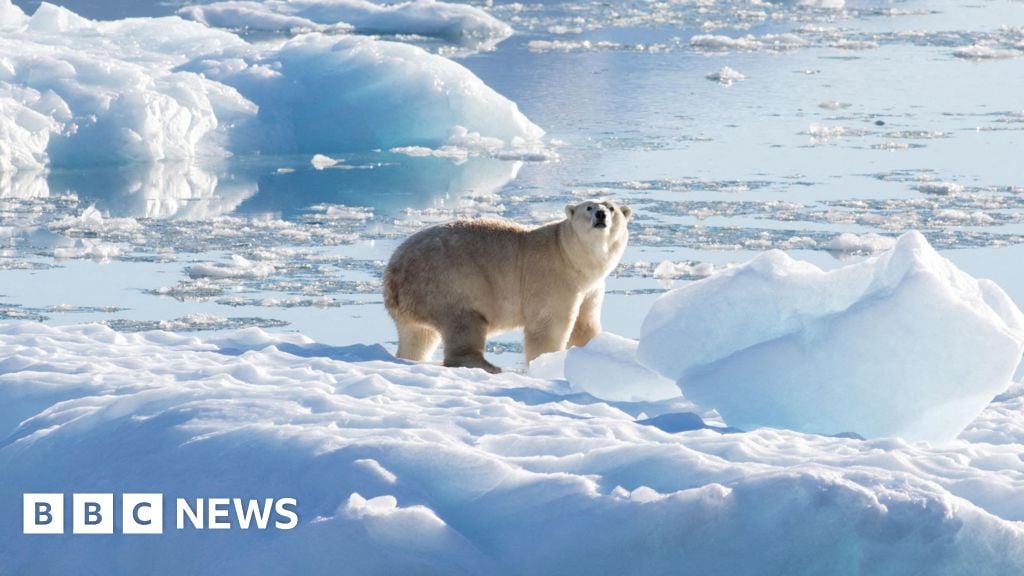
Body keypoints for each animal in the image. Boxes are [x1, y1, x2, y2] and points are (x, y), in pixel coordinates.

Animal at [385, 199, 630, 373]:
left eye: (611, 207)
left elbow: (585, 324)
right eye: (588, 207)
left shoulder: (591, 288)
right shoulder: (553, 278)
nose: (601, 214)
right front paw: (547, 363)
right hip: (448, 282)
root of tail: (393, 272)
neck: (569, 255)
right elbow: (549, 326)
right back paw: (488, 366)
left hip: (417, 299)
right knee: (464, 323)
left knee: (418, 336)